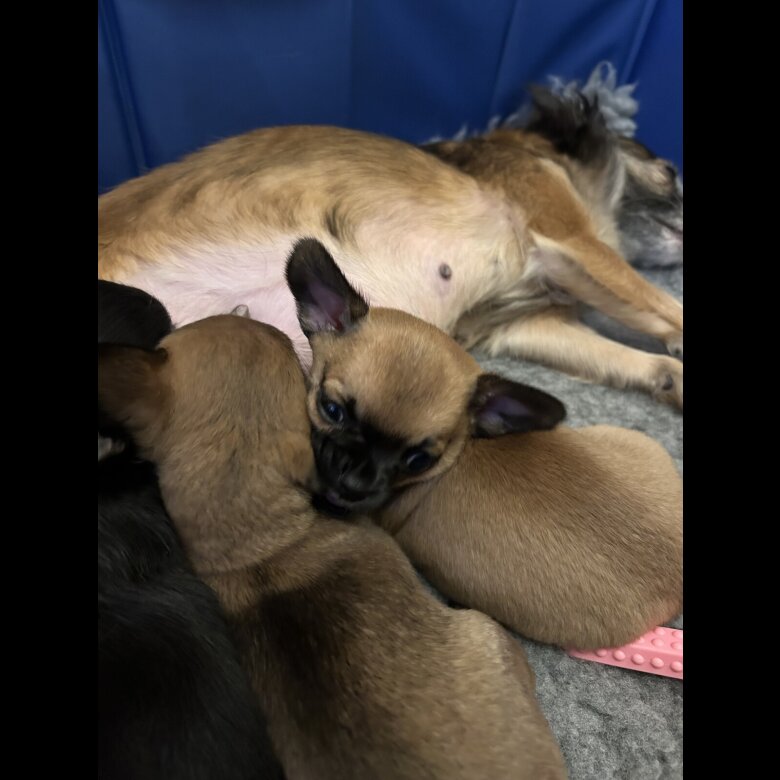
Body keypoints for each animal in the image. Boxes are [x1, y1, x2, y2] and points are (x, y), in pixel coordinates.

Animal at [97, 83, 683, 408]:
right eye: (671, 171)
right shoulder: (571, 241)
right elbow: (666, 308)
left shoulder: (526, 325)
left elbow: (633, 356)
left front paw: (670, 378)